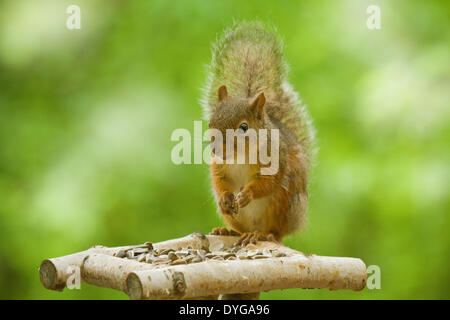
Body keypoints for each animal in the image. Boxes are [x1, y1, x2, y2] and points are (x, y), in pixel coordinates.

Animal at [202, 21, 314, 245]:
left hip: (284, 203)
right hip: (235, 217)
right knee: (238, 227)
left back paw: (263, 234)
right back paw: (228, 231)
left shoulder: (275, 160)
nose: (217, 149)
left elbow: (268, 183)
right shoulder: (218, 165)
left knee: (276, 231)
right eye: (211, 122)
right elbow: (219, 182)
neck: (239, 157)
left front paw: (248, 194)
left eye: (244, 127)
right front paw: (226, 197)